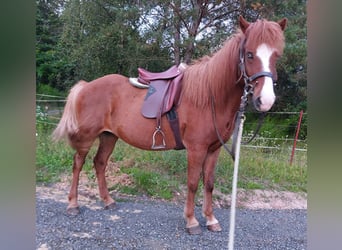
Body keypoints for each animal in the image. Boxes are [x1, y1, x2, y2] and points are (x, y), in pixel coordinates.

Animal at [52, 15, 286, 234]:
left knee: (100, 163)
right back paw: (73, 205)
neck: (210, 96)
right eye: (249, 54)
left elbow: (209, 183)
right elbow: (192, 183)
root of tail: (85, 86)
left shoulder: (214, 149)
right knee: (78, 164)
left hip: (109, 136)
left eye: (277, 55)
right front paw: (191, 221)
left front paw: (211, 219)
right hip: (86, 137)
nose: (265, 100)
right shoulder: (196, 149)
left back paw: (108, 201)